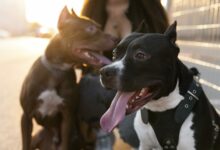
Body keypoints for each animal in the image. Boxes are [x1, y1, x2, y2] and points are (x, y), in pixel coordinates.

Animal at [19, 6, 115, 150]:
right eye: (90, 28)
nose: (117, 38)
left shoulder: (67, 116)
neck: (57, 70)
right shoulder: (26, 116)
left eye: (99, 27)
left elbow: (64, 142)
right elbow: (25, 143)